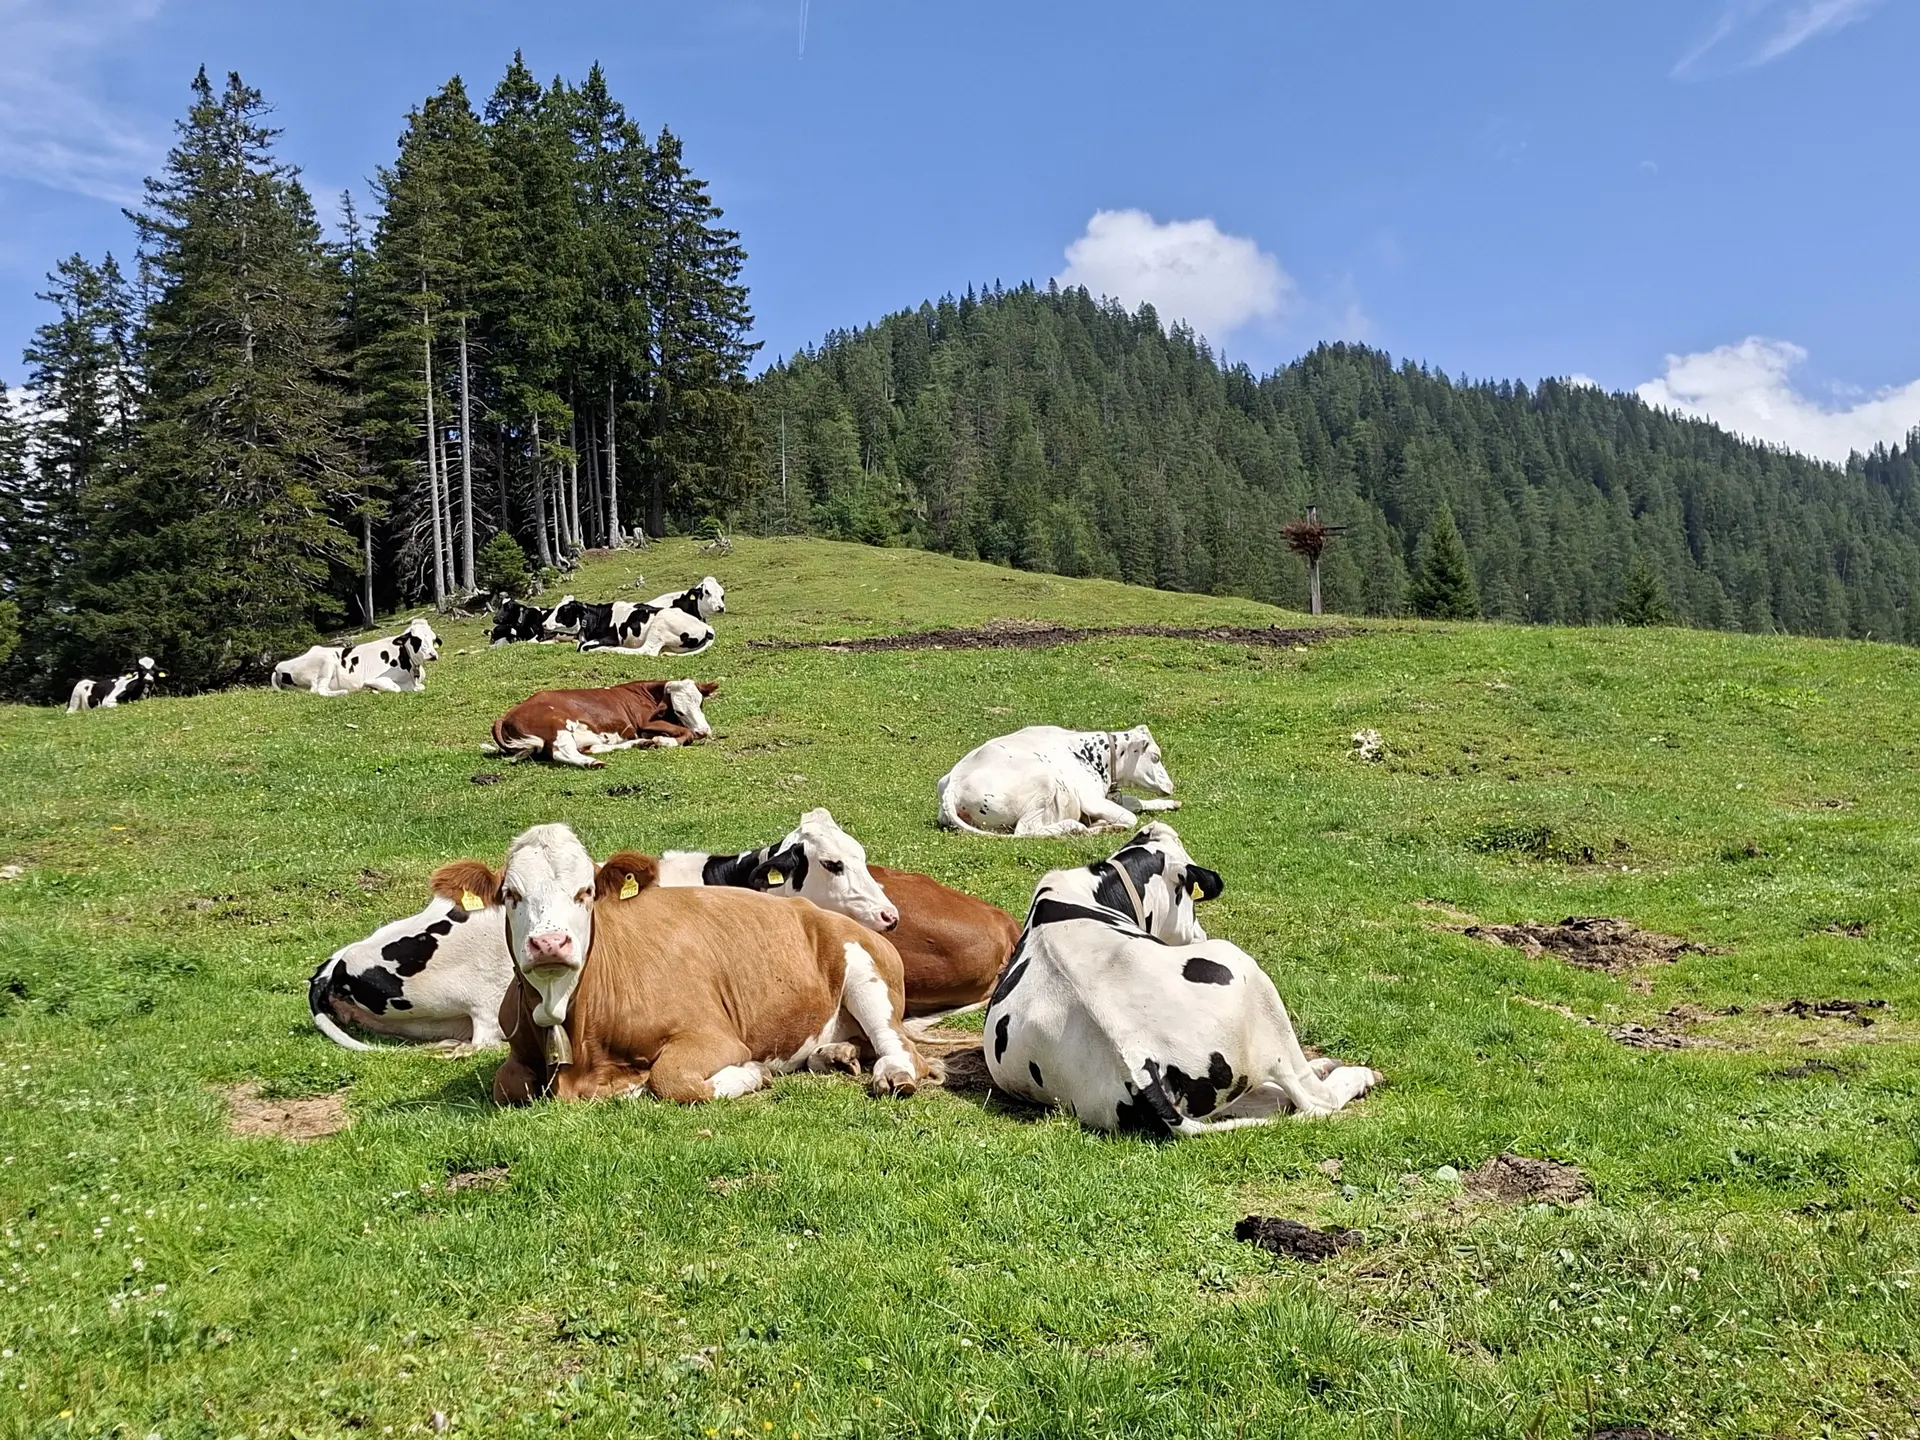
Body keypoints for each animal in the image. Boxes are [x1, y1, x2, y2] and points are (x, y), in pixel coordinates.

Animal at [272, 618, 441, 695]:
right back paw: (343, 692)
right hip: (327, 661)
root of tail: (278, 667)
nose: (433, 655)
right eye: (416, 639)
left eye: (433, 639)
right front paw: (371, 688)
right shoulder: (374, 678)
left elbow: (419, 687)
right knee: (319, 690)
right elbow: (395, 688)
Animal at [439, 823, 927, 1104]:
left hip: (865, 976)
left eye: (586, 892)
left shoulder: (714, 1038)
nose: (549, 942)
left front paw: (751, 1074)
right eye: (510, 895)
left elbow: (670, 1080)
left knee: (898, 1047)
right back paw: (836, 1054)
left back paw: (893, 1074)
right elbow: (508, 1085)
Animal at [485, 677, 716, 768]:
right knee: (563, 753)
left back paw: (639, 744)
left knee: (591, 747)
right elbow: (684, 732)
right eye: (679, 710)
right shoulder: (645, 724)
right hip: (557, 726)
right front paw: (665, 741)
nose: (704, 731)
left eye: (700, 703)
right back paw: (593, 763)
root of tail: (505, 715)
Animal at [935, 724, 1180, 836]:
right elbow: (1131, 817)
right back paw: (1078, 826)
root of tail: (953, 785)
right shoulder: (1091, 799)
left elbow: (1135, 802)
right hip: (1044, 780)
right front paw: (1106, 824)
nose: (1170, 785)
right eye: (1156, 757)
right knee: (1026, 830)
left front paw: (1170, 803)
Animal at [982, 823, 1383, 1138]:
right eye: (1191, 896)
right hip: (1253, 985)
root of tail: (1138, 1056)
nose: (1200, 933)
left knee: (1276, 1098)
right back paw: (1357, 1074)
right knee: (1311, 1097)